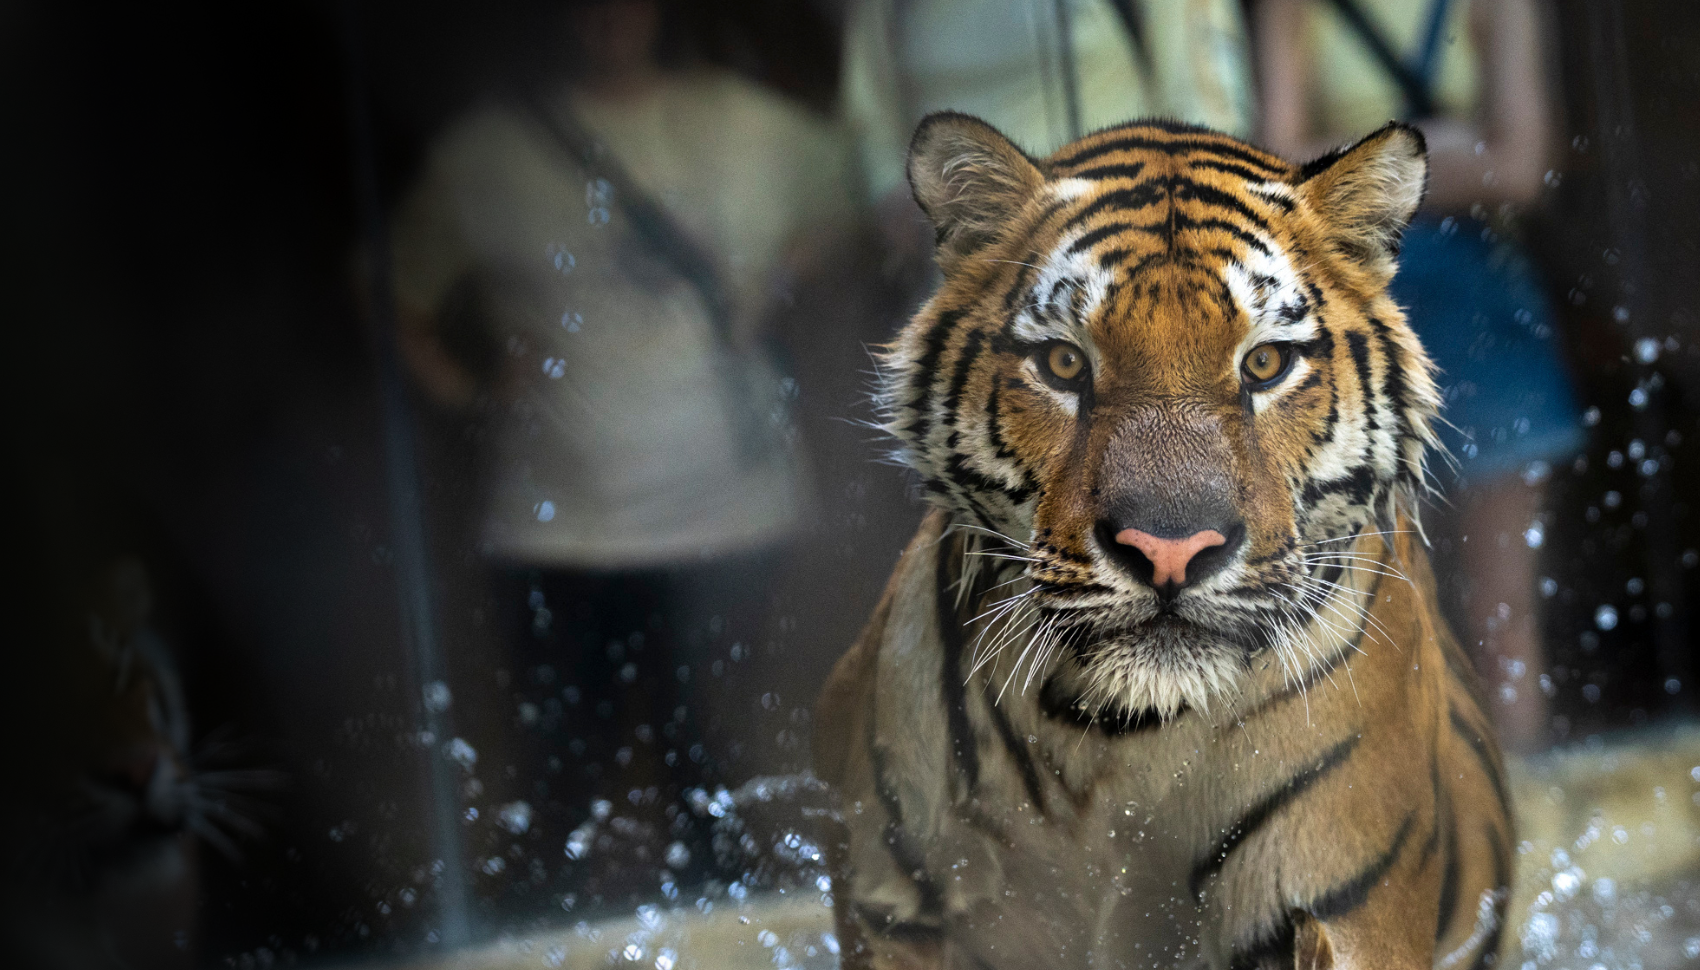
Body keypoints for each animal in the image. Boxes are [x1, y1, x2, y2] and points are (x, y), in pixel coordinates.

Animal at [813, 113, 1513, 970]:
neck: (1115, 744)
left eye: (1265, 362)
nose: (1170, 552)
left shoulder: (1342, 914)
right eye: (1063, 362)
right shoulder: (899, 912)